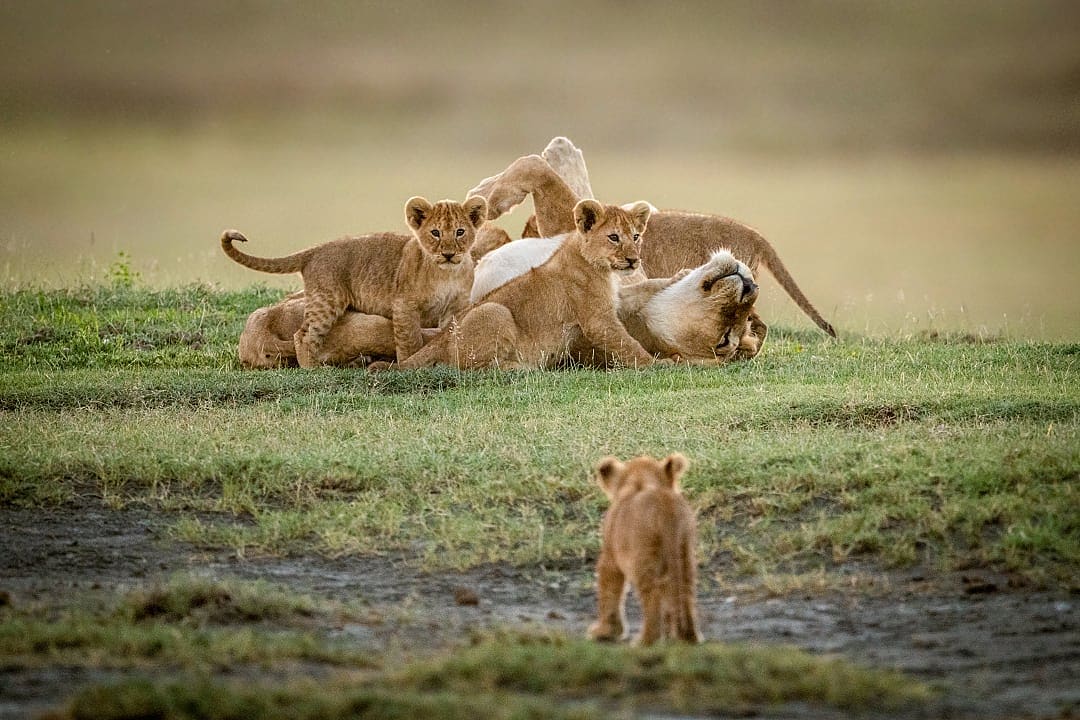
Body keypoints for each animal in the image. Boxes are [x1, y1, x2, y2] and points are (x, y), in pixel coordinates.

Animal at [220, 195, 487, 366]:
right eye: (435, 233)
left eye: (460, 232)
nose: (449, 254)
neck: (446, 273)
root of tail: (314, 251)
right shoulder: (404, 305)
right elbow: (409, 340)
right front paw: (410, 361)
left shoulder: (455, 305)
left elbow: (450, 331)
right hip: (327, 301)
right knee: (303, 335)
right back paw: (313, 370)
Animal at [384, 199, 659, 370]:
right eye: (614, 237)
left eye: (636, 236)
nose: (633, 259)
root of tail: (441, 338)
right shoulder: (598, 320)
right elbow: (627, 344)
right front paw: (657, 363)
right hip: (495, 311)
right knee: (468, 369)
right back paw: (518, 367)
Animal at [589, 453, 701, 646]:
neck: (642, 482)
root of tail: (666, 509)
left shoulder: (610, 555)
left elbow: (608, 588)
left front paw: (605, 632)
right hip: (684, 554)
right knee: (684, 593)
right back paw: (688, 638)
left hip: (642, 558)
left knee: (653, 597)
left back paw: (644, 642)